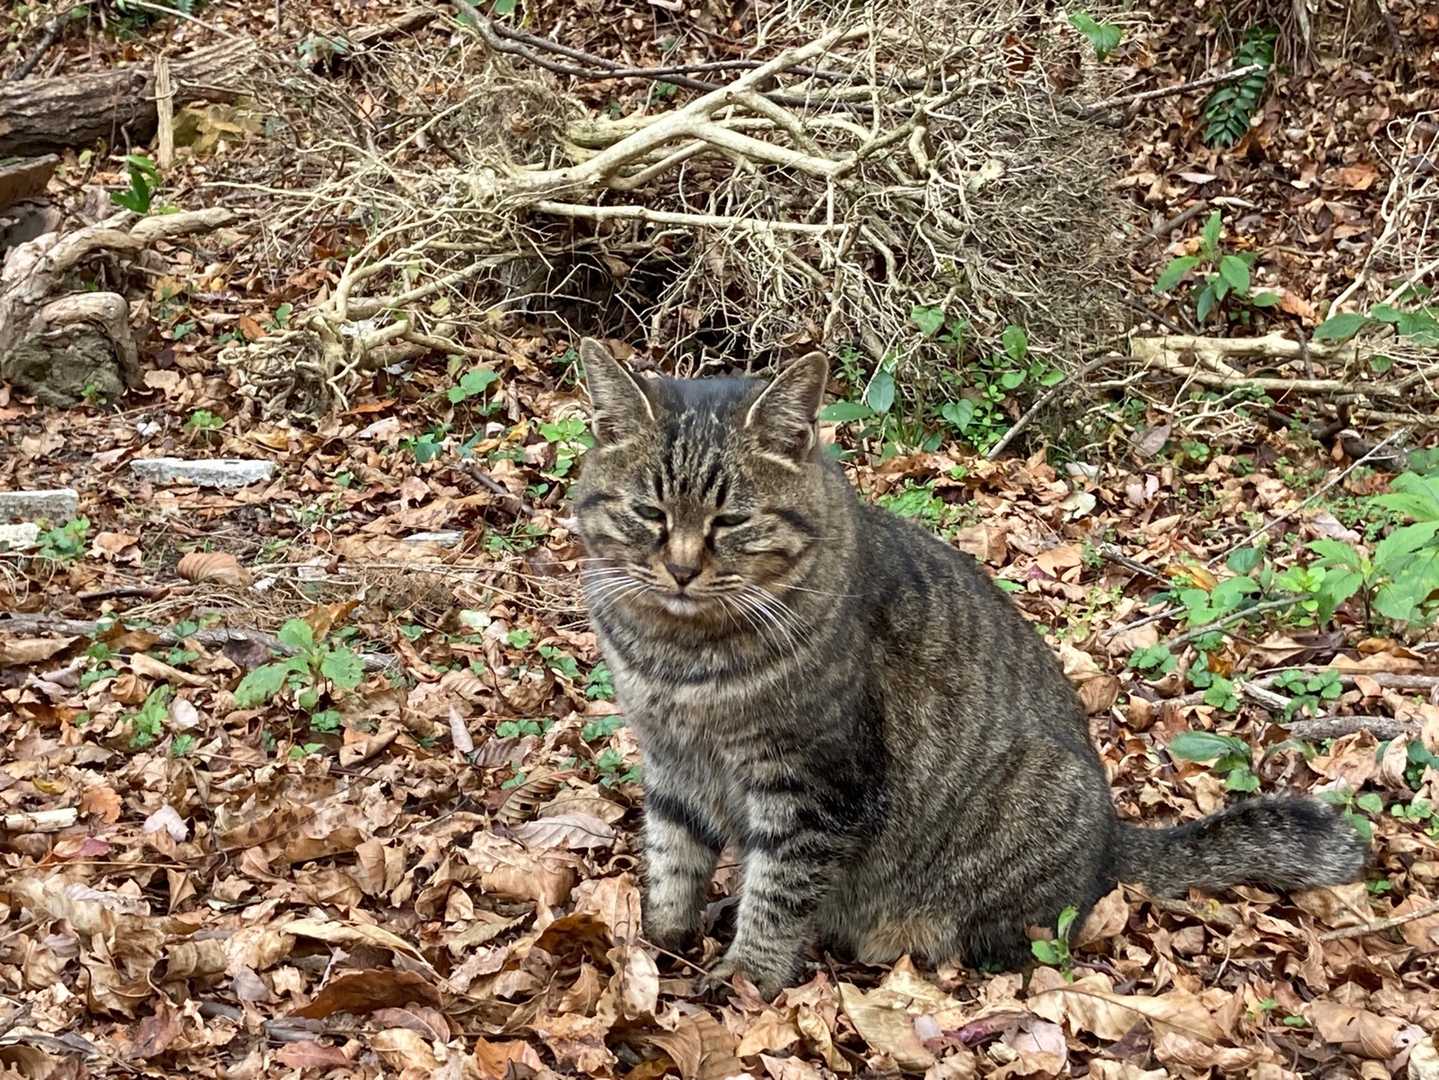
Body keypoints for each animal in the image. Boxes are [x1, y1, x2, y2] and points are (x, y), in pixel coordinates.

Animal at [569, 337, 1369, 999]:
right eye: (649, 513)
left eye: (731, 520)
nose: (679, 569)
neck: (680, 657)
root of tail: (1112, 840)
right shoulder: (671, 758)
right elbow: (672, 855)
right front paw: (657, 938)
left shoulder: (816, 782)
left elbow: (780, 890)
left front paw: (746, 976)